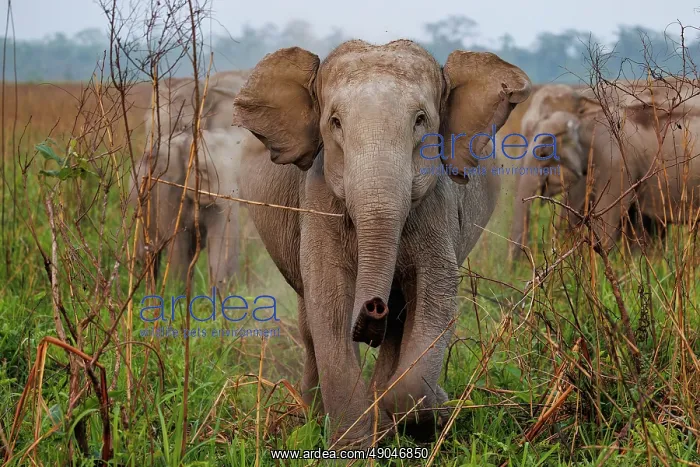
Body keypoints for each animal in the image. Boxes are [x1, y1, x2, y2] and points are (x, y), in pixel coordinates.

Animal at [231, 40, 532, 446]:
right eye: (335, 123)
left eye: (420, 120)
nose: (375, 306)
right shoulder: (318, 197)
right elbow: (329, 302)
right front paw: (355, 446)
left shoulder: (436, 206)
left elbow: (435, 297)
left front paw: (420, 416)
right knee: (311, 325)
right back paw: (319, 417)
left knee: (399, 324)